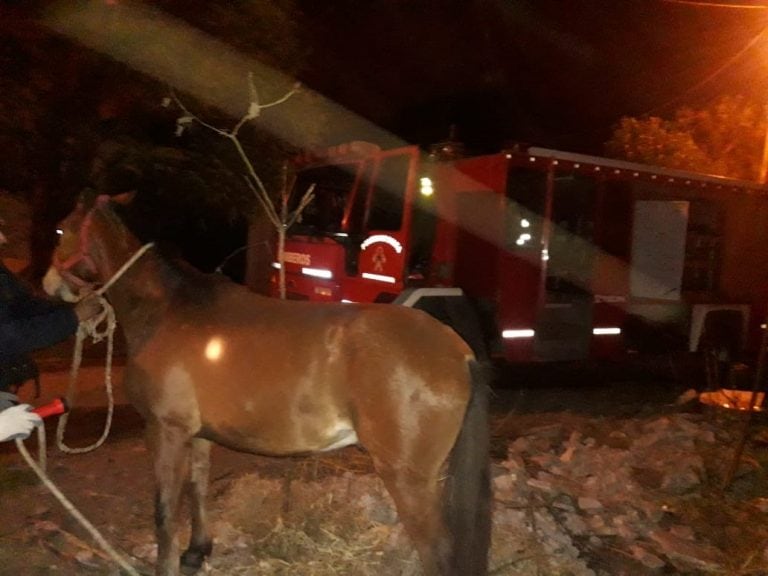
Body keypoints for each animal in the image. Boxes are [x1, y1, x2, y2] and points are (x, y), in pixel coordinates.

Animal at [43, 192, 492, 576]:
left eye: (61, 231)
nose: (48, 284)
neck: (170, 310)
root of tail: (457, 350)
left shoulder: (165, 431)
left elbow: (165, 512)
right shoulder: (197, 434)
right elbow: (198, 488)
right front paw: (196, 552)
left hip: (407, 480)